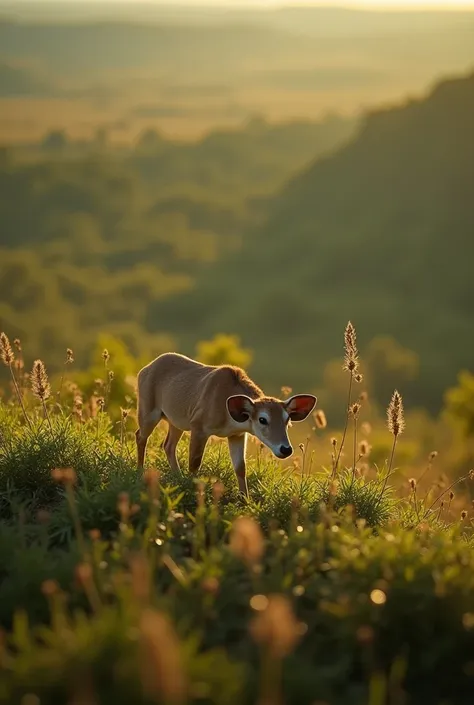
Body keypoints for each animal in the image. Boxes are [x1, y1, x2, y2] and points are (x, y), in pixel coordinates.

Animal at [135, 352, 316, 496]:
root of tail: (143, 370)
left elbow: (240, 467)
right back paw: (139, 471)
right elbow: (194, 462)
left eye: (287, 419)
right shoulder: (198, 425)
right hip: (148, 408)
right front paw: (192, 489)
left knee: (168, 445)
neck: (227, 416)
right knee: (140, 436)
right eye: (262, 419)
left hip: (175, 420)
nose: (285, 449)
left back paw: (177, 476)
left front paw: (245, 499)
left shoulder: (237, 434)